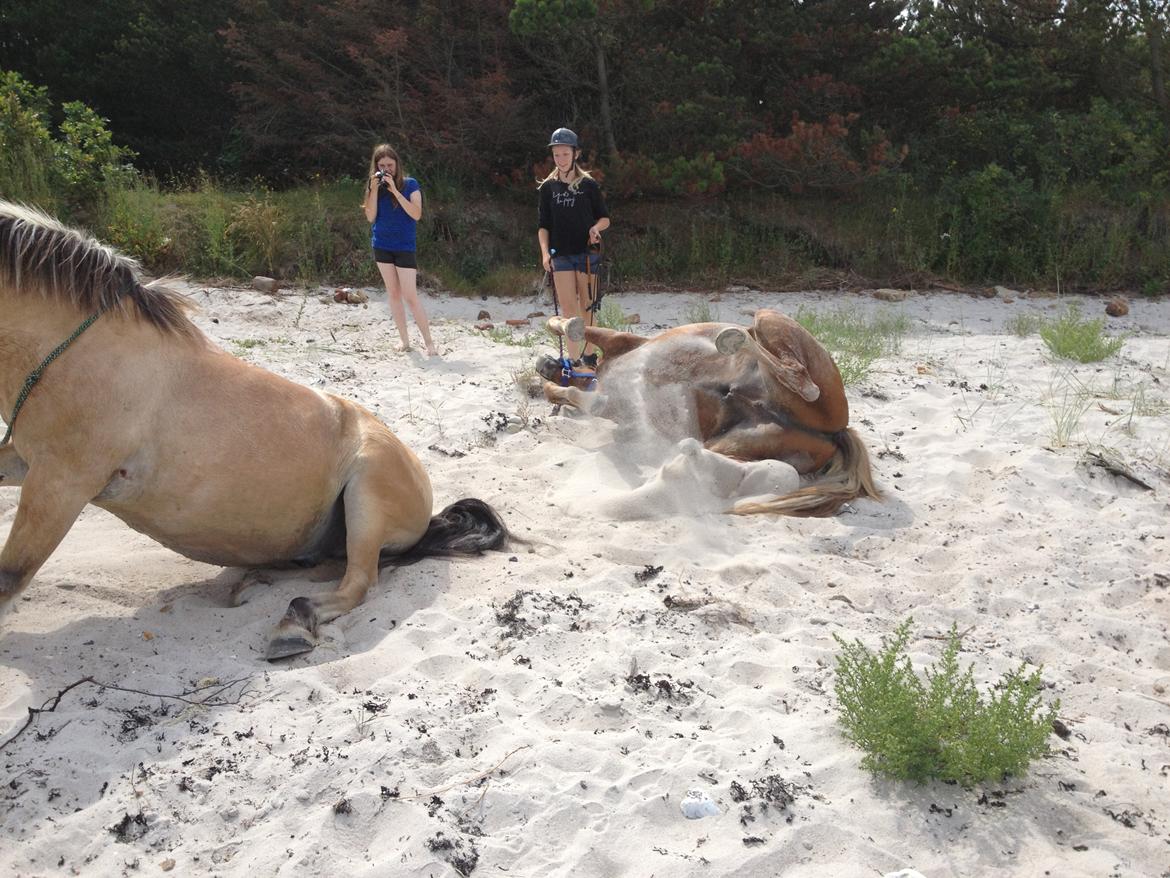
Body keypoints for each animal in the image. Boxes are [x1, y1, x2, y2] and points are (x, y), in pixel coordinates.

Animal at [0, 201, 505, 660]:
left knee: (359, 583)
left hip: (367, 496)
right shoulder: (27, 464)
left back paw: (293, 623)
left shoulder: (61, 483)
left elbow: (10, 576)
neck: (77, 349)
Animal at [538, 309, 879, 515]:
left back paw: (734, 339)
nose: (543, 364)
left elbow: (562, 324)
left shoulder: (620, 340)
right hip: (736, 442)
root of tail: (839, 432)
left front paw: (567, 330)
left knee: (799, 377)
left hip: (770, 320)